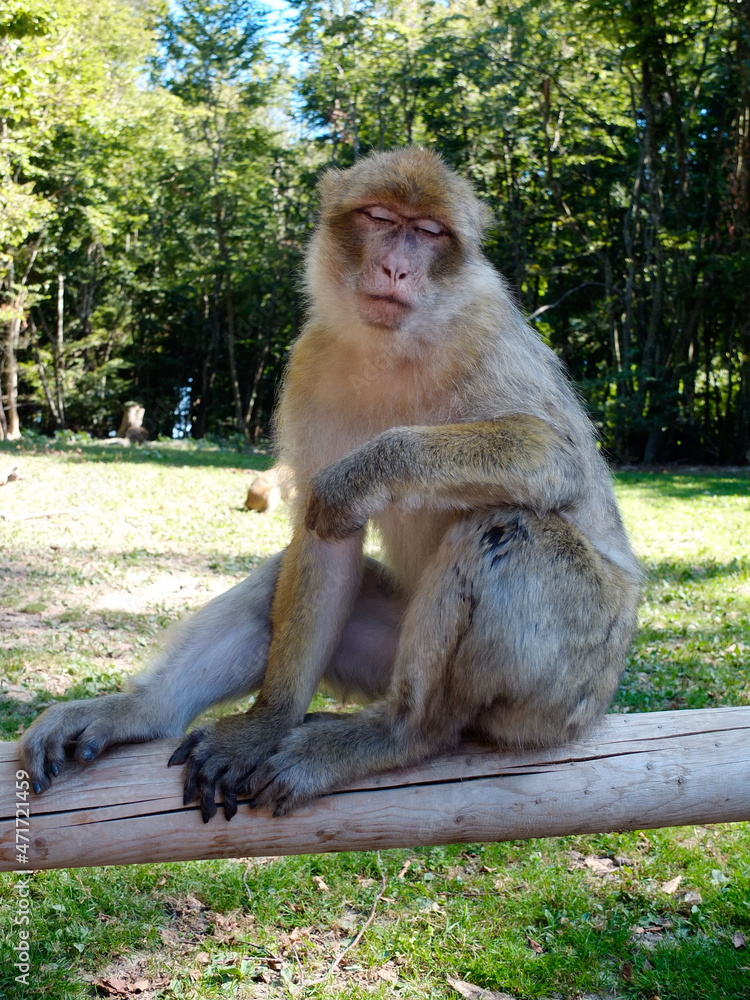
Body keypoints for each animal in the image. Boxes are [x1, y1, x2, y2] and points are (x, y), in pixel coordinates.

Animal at [19, 148, 641, 822]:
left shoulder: (485, 332)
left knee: (510, 529)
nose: (397, 267)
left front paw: (362, 474)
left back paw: (399, 733)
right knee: (282, 578)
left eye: (429, 232)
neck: (396, 347)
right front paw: (263, 725)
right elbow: (321, 545)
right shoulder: (312, 362)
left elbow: (556, 458)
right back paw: (140, 712)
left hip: (572, 676)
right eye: (380, 218)